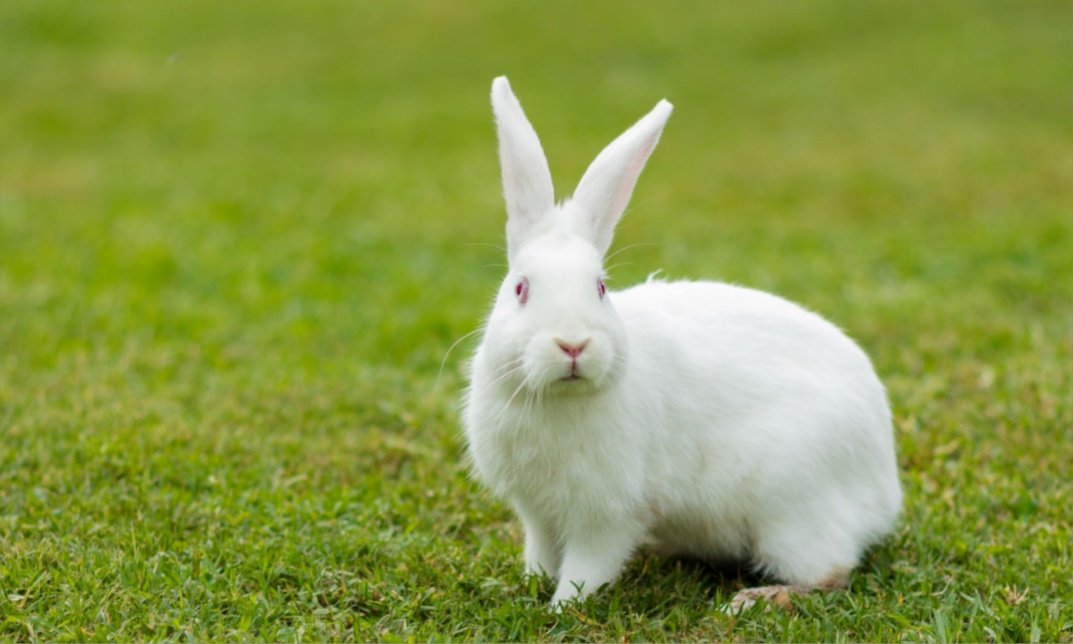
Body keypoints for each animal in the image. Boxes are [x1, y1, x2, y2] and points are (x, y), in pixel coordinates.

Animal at [461, 75, 897, 609]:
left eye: (600, 288)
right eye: (521, 289)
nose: (573, 345)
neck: (557, 400)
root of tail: (885, 491)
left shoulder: (606, 516)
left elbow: (587, 567)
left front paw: (565, 606)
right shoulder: (537, 513)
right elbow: (540, 552)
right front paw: (529, 584)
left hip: (793, 510)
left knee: (831, 573)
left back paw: (754, 599)